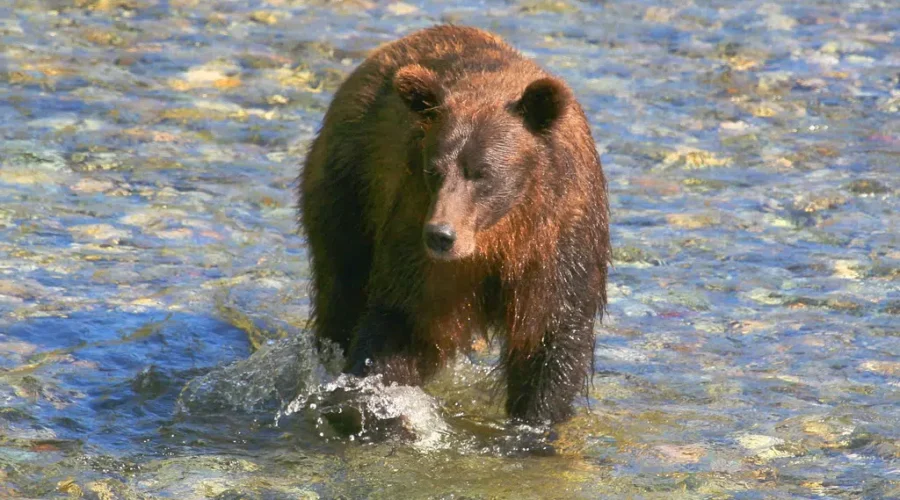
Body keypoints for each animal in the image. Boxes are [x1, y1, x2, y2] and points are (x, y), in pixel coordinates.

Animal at [299, 25, 610, 425]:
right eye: (434, 169)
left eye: (482, 173)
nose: (441, 236)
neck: (499, 237)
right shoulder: (418, 236)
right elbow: (401, 323)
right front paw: (371, 403)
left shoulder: (556, 242)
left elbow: (549, 338)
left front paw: (534, 421)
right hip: (350, 186)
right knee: (342, 285)